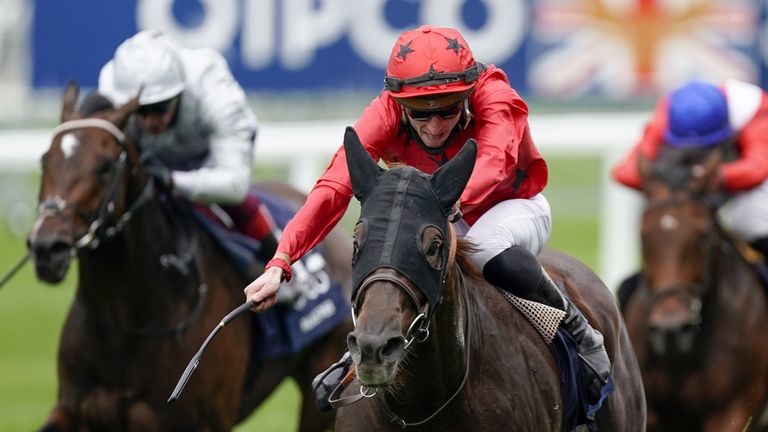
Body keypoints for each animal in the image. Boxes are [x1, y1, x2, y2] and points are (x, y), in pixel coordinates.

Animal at [27, 82, 354, 432]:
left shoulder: (199, 422)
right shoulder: (73, 409)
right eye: (45, 160)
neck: (128, 326)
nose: (47, 247)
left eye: (105, 165)